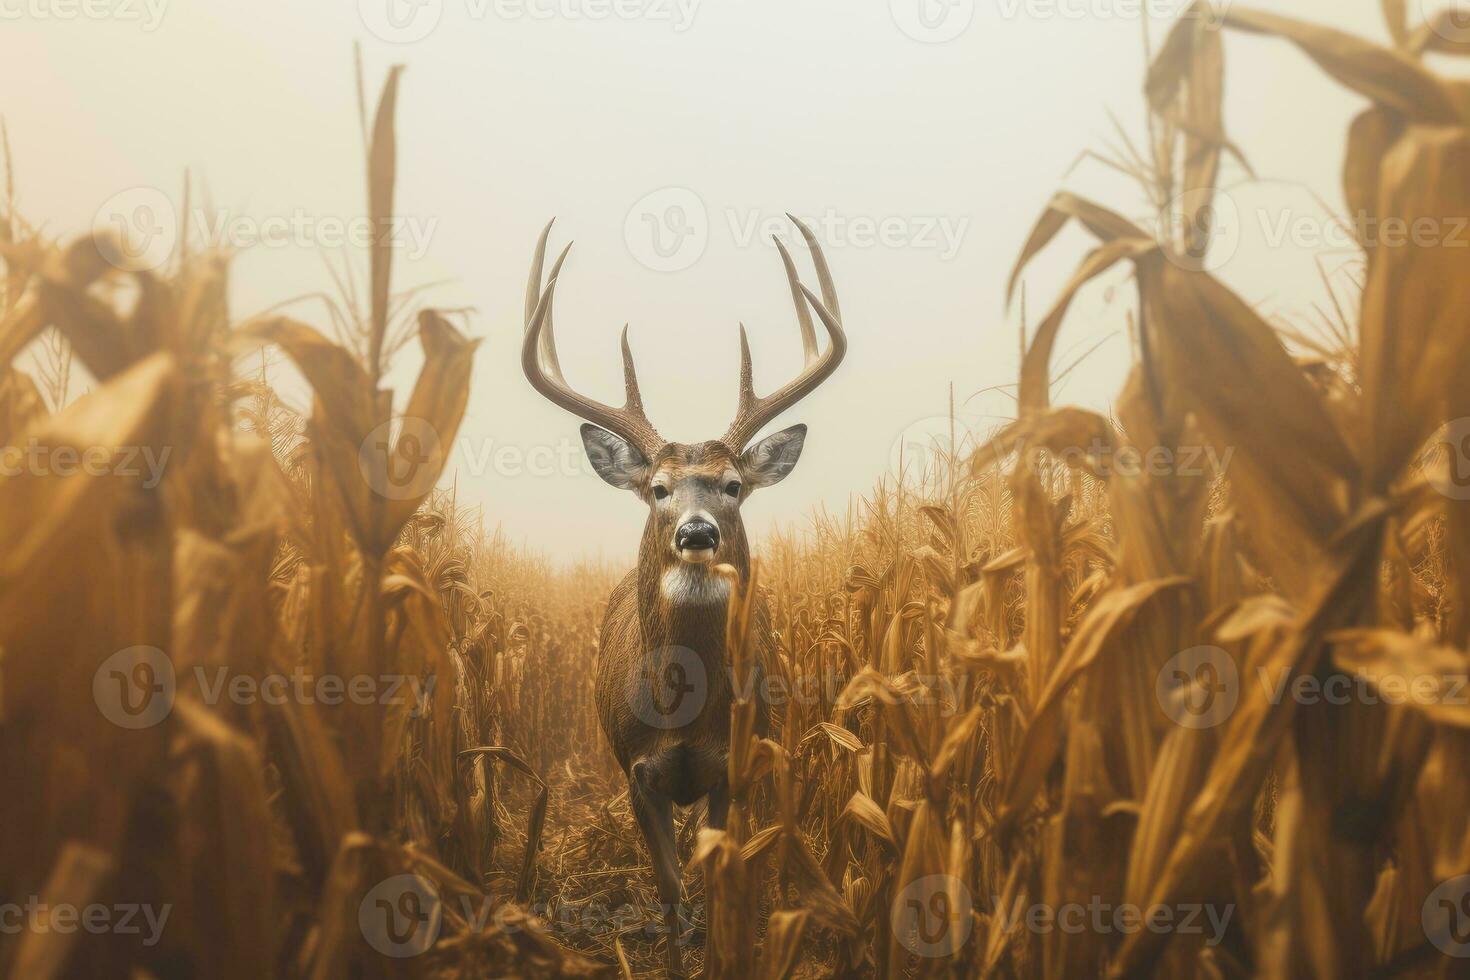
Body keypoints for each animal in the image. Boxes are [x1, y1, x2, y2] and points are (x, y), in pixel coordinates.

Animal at [520, 218, 846, 975]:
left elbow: (718, 876)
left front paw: (723, 954)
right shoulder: (637, 771)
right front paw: (674, 957)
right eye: (658, 489)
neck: (685, 712)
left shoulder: (732, 767)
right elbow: (670, 888)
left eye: (732, 485)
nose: (697, 533)